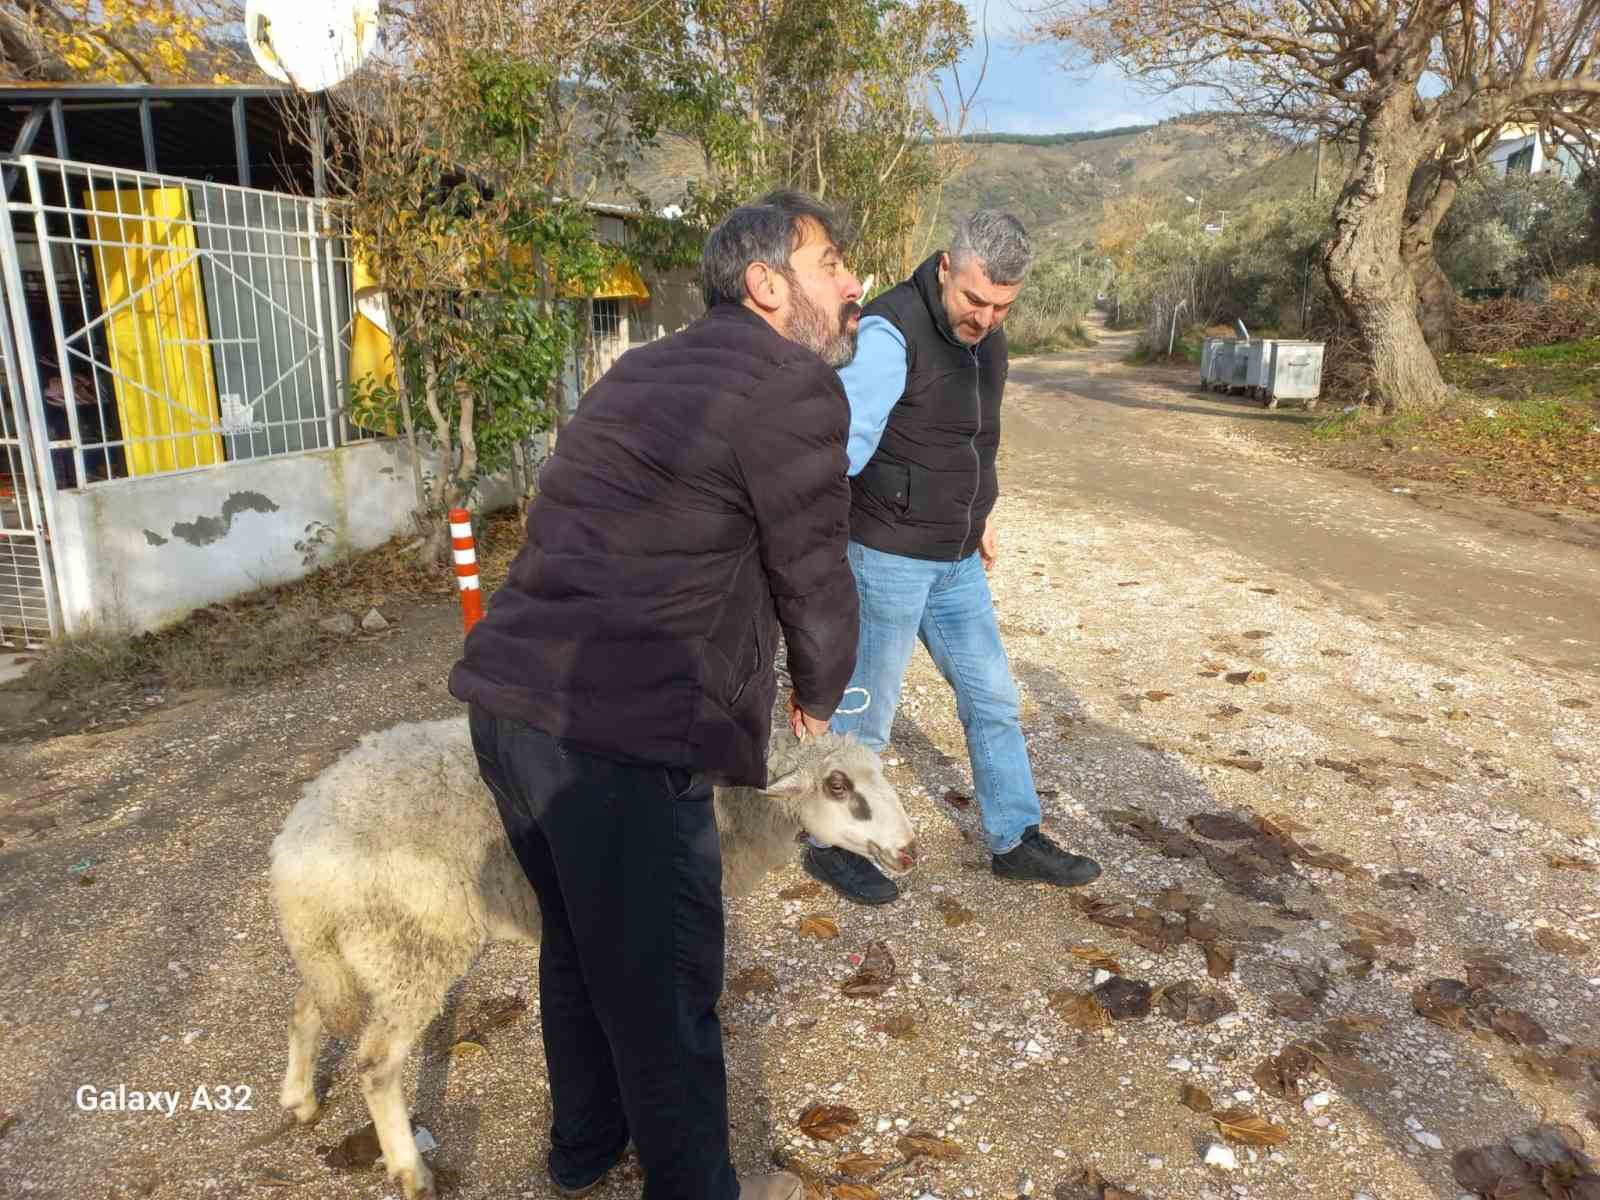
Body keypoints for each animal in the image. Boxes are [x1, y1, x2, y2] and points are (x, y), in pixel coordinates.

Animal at [270, 720, 921, 1196]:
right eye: (837, 786)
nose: (910, 851)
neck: (738, 810)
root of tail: (294, 858)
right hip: (411, 946)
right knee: (376, 1065)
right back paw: (410, 1171)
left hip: (346, 951)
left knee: (306, 1006)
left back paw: (300, 1098)